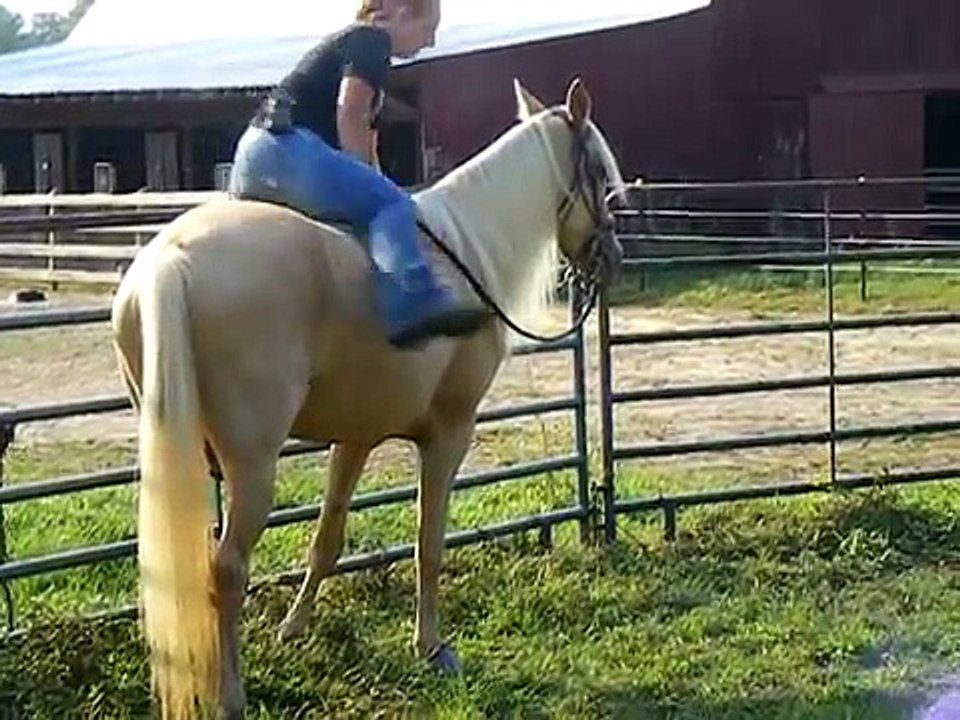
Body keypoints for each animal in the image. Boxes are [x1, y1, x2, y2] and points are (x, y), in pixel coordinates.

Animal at [110, 76, 627, 719]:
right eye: (600, 173)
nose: (613, 259)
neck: (464, 254)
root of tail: (169, 261)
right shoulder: (449, 432)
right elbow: (429, 542)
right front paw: (432, 648)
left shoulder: (356, 437)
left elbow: (326, 540)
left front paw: (293, 629)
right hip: (252, 466)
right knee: (225, 570)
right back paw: (229, 694)